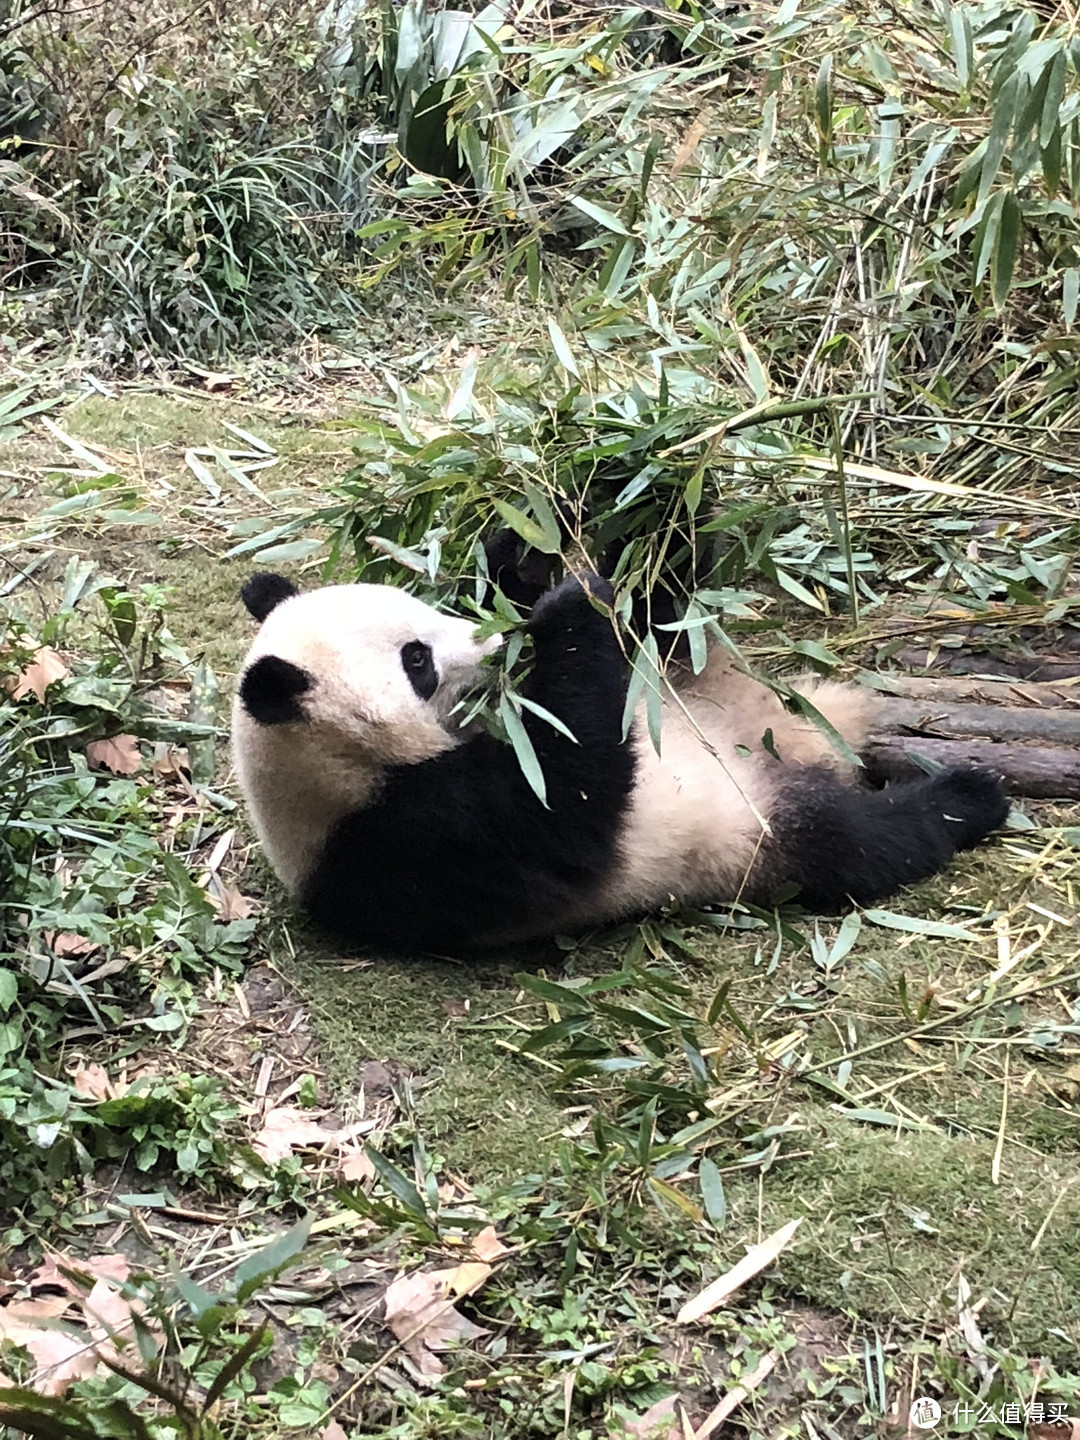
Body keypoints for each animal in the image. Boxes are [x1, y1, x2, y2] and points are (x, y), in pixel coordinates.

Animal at [230, 558, 1013, 956]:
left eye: (424, 610)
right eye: (417, 660)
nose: (495, 643)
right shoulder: (412, 839)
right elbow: (566, 798)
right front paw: (573, 606)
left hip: (689, 678)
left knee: (670, 623)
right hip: (752, 828)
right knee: (862, 842)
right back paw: (966, 795)